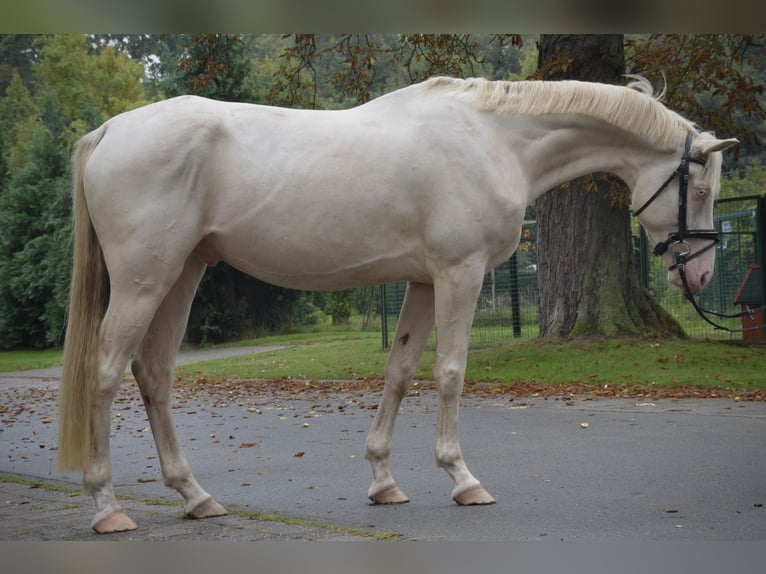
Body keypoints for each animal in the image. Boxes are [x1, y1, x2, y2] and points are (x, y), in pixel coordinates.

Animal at [57, 75, 737, 533]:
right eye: (701, 190)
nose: (702, 275)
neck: (496, 140)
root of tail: (111, 130)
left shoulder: (424, 282)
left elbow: (401, 372)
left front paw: (384, 482)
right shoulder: (459, 274)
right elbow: (452, 372)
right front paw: (463, 479)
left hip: (183, 275)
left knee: (154, 374)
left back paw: (195, 496)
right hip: (145, 280)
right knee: (107, 372)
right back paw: (108, 507)